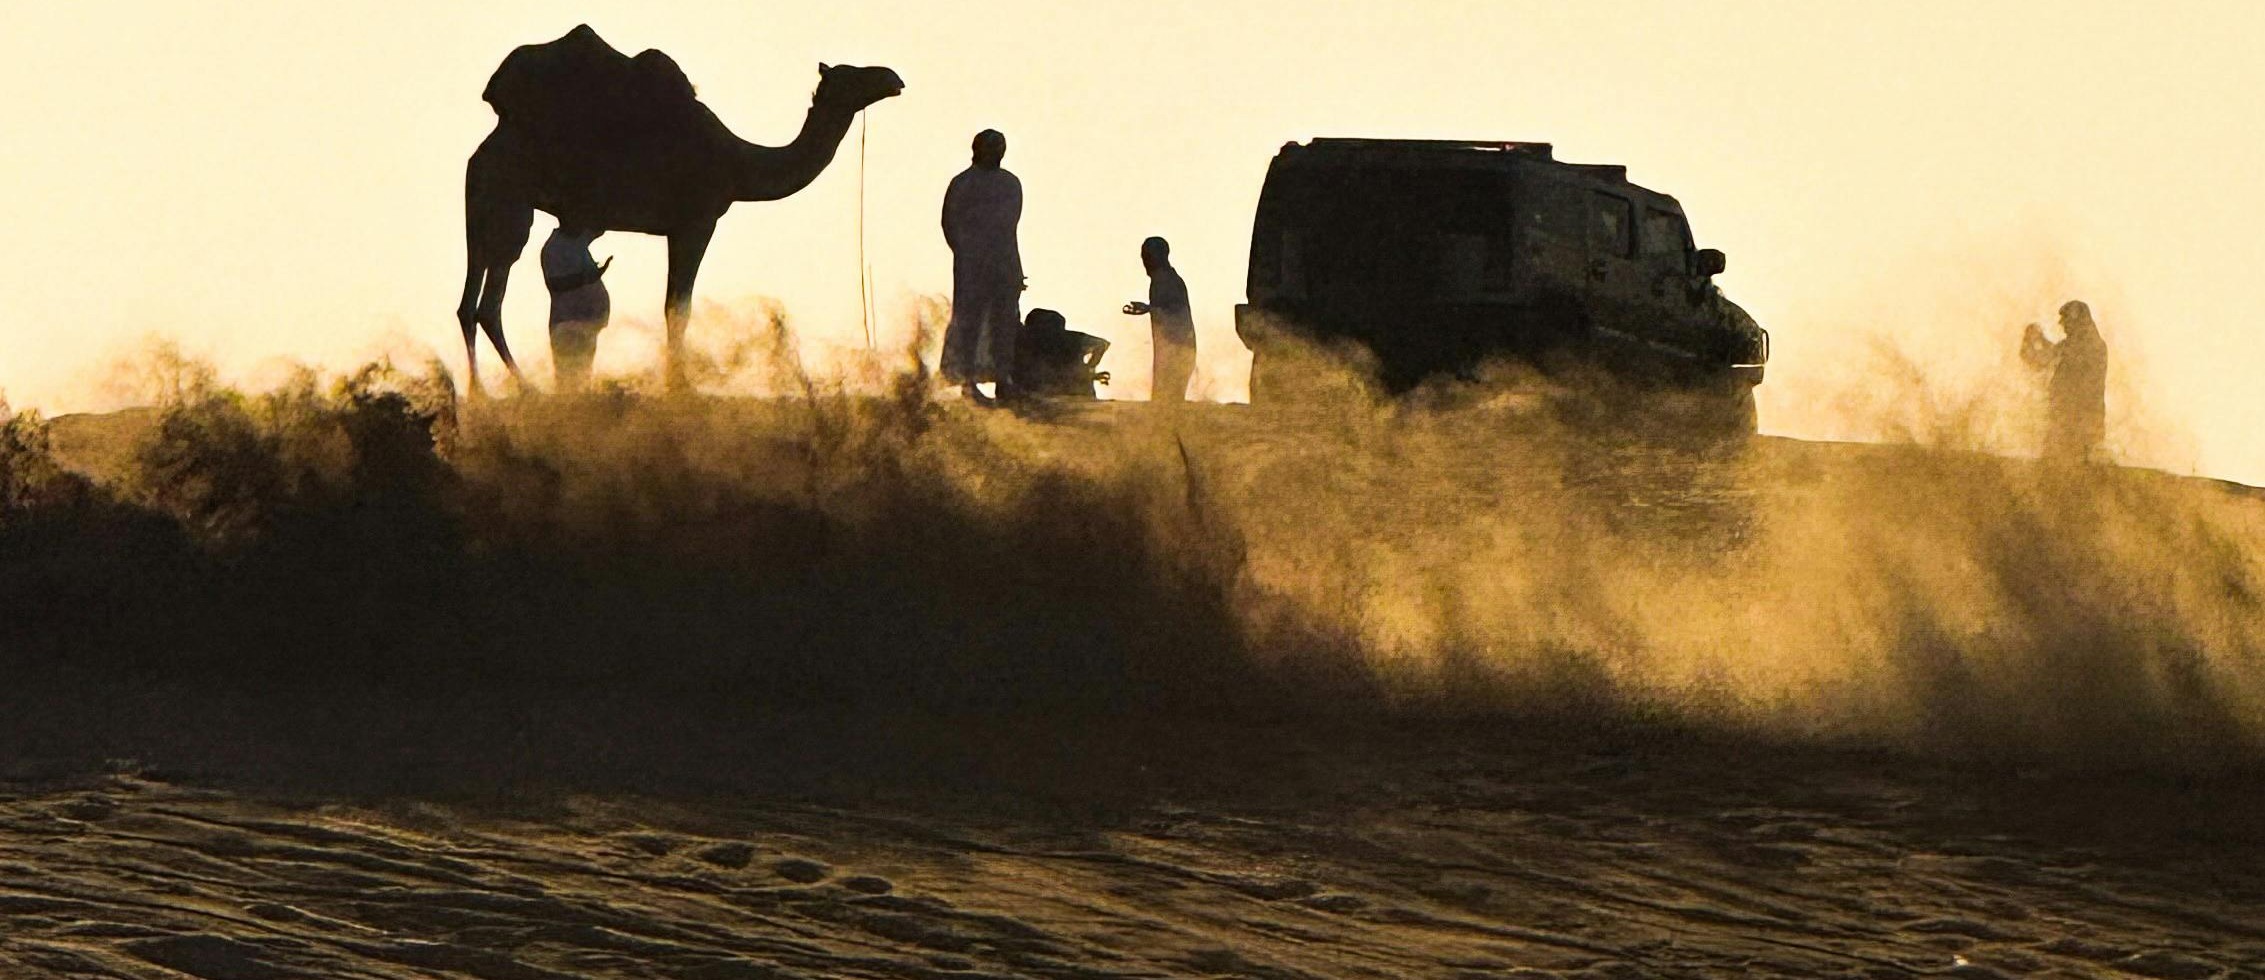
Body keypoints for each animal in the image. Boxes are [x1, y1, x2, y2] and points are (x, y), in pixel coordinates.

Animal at [458, 25, 904, 395]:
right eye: (851, 74)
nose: (893, 78)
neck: (740, 164)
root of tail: (484, 150)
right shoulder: (696, 222)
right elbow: (678, 308)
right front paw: (680, 387)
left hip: (481, 207)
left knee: (469, 303)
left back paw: (481, 394)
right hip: (510, 204)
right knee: (490, 300)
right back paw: (518, 389)